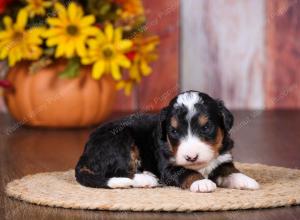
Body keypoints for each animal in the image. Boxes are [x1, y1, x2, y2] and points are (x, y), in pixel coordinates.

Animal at [74, 90, 258, 192]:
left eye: (206, 127)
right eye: (174, 131)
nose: (191, 157)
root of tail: (85, 153)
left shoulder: (223, 159)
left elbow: (230, 170)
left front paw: (247, 180)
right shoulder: (168, 167)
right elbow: (187, 172)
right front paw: (201, 182)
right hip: (120, 141)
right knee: (117, 172)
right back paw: (146, 179)